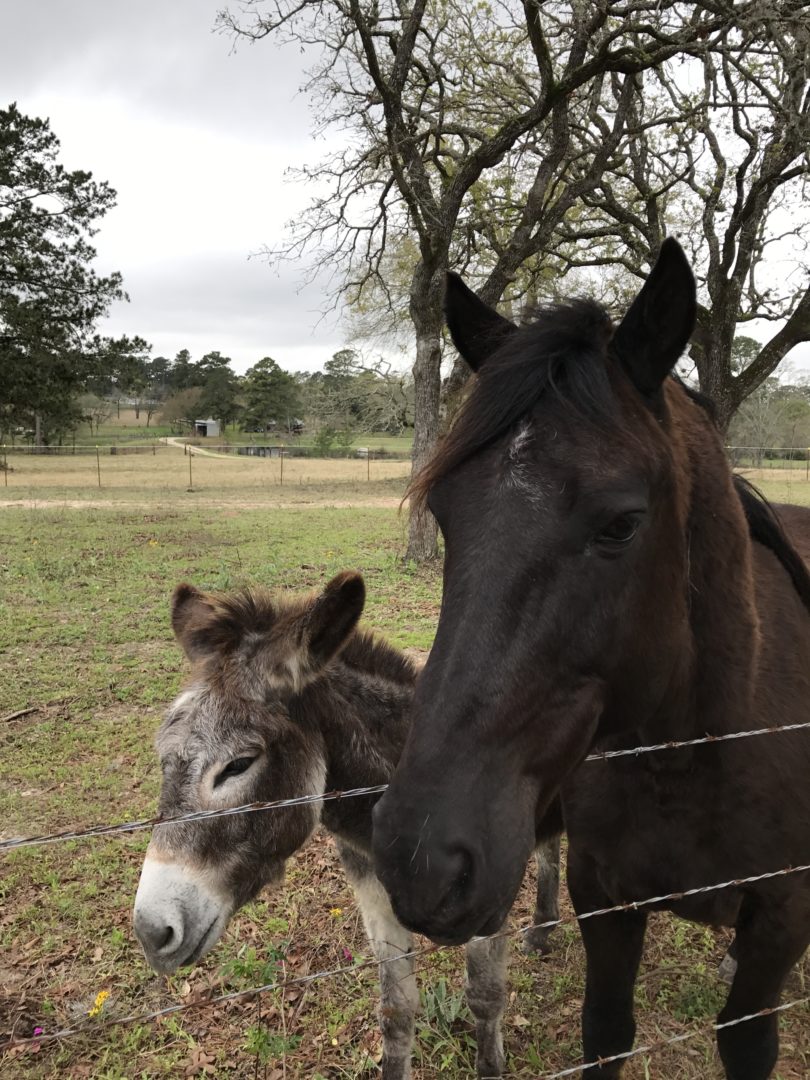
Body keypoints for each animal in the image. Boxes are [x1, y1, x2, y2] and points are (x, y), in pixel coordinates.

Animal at [373, 240, 810, 1075]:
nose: (423, 859)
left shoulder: (782, 915)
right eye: (445, 515)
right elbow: (606, 1029)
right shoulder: (603, 899)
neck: (700, 754)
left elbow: (749, 1040)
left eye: (621, 525)